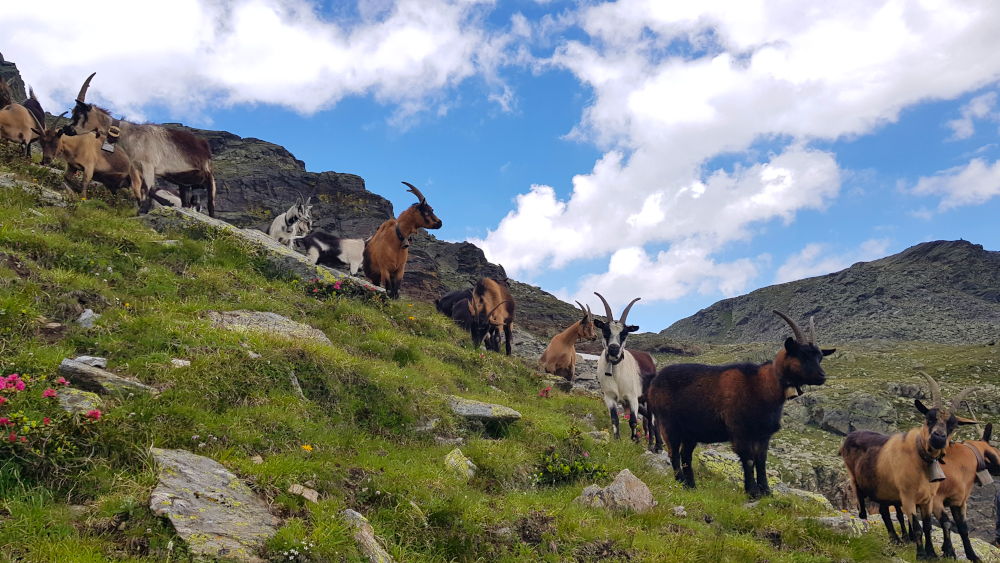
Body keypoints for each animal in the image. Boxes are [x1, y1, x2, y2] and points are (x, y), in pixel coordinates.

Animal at [68, 72, 217, 216]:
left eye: (79, 114)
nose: (67, 129)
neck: (130, 135)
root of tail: (203, 145)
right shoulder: (135, 167)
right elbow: (141, 190)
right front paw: (143, 210)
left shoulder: (148, 165)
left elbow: (149, 189)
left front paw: (159, 205)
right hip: (185, 180)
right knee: (187, 199)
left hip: (207, 174)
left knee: (211, 201)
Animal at [592, 290, 656, 446]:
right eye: (605, 331)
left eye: (625, 333)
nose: (614, 349)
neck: (616, 373)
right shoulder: (609, 397)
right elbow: (615, 420)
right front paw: (617, 440)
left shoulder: (632, 397)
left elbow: (633, 421)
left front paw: (634, 440)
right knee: (647, 419)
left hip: (647, 397)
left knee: (651, 420)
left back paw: (655, 445)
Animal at [648, 310, 836, 500]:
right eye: (802, 355)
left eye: (820, 357)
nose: (822, 376)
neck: (761, 386)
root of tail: (654, 382)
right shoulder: (740, 431)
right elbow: (749, 460)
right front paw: (753, 491)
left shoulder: (763, 435)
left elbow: (761, 461)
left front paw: (766, 491)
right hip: (669, 424)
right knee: (674, 454)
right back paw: (680, 483)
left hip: (691, 432)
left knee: (686, 456)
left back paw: (691, 486)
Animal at [840, 374, 980, 560]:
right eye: (929, 418)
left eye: (953, 425)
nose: (938, 437)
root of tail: (850, 436)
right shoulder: (909, 498)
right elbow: (919, 527)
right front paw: (922, 555)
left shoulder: (929, 500)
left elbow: (929, 526)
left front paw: (933, 553)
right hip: (856, 479)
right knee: (863, 506)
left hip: (883, 489)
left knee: (884, 511)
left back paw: (897, 539)